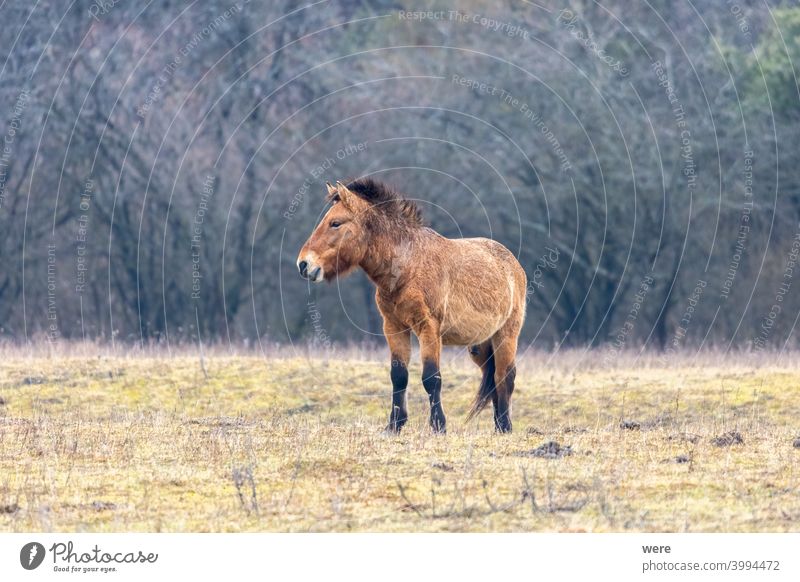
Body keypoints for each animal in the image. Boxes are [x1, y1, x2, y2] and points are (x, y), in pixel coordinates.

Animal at [296, 179, 528, 434]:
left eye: (335, 223)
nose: (304, 264)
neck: (408, 266)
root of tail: (513, 265)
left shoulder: (428, 328)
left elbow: (431, 378)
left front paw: (438, 426)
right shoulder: (394, 327)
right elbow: (398, 376)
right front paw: (394, 425)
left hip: (506, 335)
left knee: (505, 377)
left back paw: (505, 426)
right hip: (480, 346)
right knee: (494, 379)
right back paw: (498, 425)